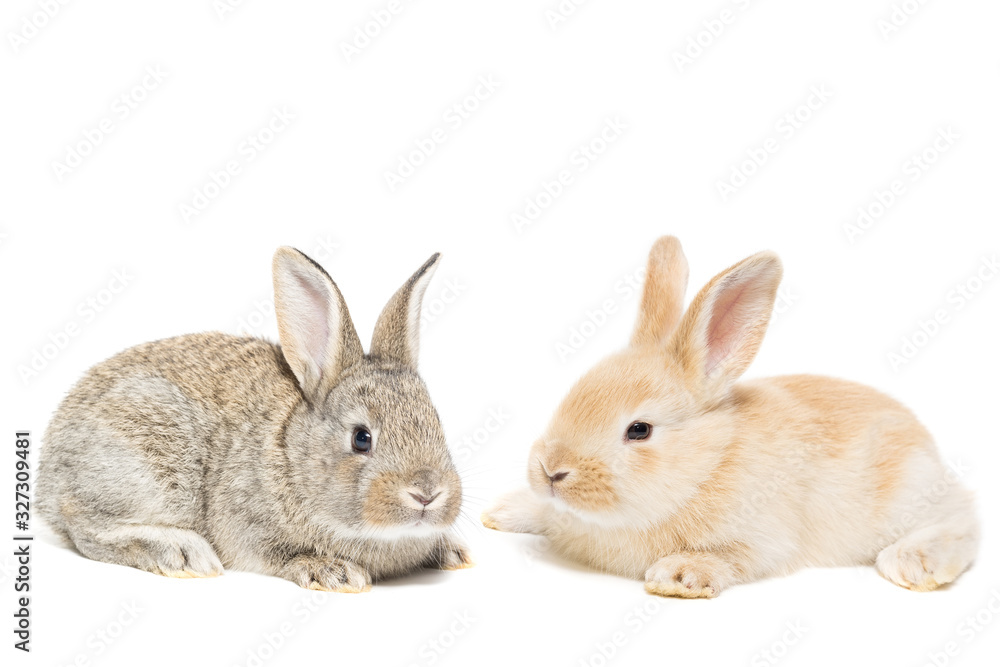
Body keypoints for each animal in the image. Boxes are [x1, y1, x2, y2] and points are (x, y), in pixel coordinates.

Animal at [39, 248, 472, 592]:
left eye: (436, 424)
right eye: (361, 438)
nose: (427, 493)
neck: (293, 457)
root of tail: (48, 472)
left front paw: (452, 551)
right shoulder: (249, 525)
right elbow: (280, 555)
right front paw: (334, 572)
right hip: (147, 460)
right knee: (85, 525)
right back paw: (183, 553)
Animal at [484, 239, 976, 600]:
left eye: (639, 430)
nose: (551, 471)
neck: (708, 464)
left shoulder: (764, 539)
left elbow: (737, 558)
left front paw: (679, 574)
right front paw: (503, 511)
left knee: (964, 521)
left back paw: (912, 564)